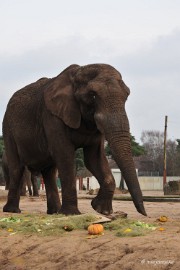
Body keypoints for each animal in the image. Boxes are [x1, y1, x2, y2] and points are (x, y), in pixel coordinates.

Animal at [2, 62, 147, 215]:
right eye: (93, 95)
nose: (144, 213)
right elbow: (65, 155)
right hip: (8, 129)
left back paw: (54, 212)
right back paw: (13, 211)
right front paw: (71, 213)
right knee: (17, 168)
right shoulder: (52, 117)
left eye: (127, 95)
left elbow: (94, 159)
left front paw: (101, 210)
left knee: (49, 171)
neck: (79, 71)